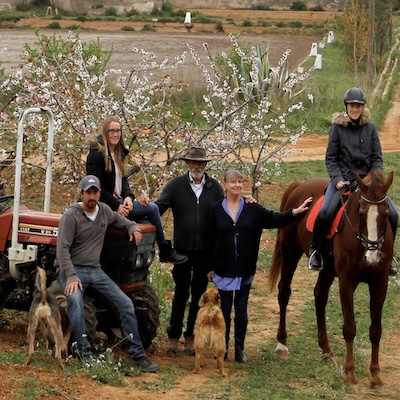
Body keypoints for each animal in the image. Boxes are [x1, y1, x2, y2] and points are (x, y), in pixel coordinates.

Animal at [268, 170, 394, 388]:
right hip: (290, 252)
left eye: (386, 214)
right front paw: (350, 374)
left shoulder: (380, 282)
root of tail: (299, 185)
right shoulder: (346, 280)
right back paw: (281, 345)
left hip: (326, 270)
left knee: (320, 296)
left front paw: (376, 376)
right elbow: (350, 327)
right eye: (361, 213)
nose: (372, 256)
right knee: (284, 292)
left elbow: (376, 330)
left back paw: (326, 350)